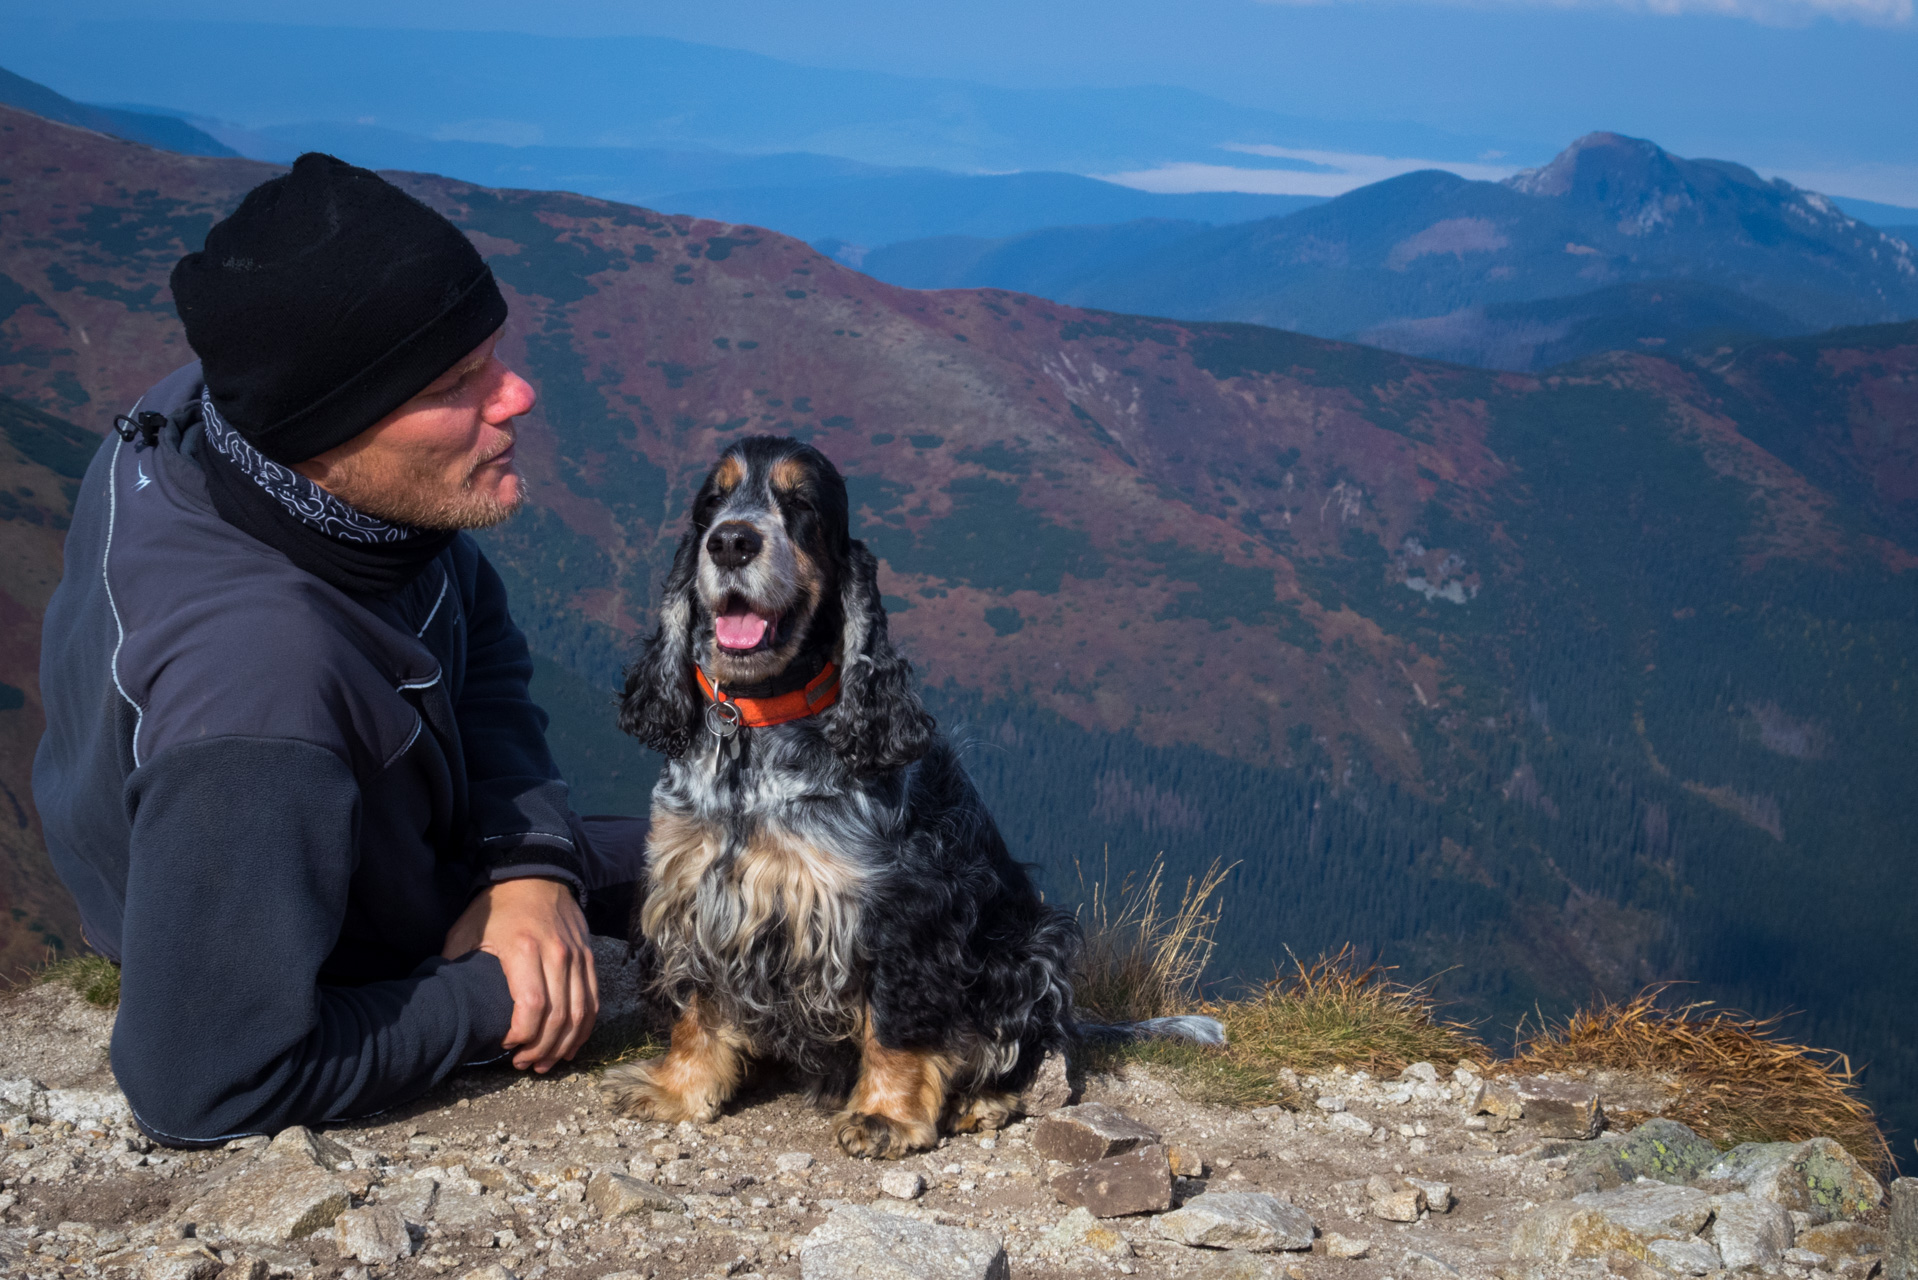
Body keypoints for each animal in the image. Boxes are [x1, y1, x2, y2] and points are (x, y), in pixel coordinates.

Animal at [606, 433, 1074, 1159]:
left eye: (800, 504)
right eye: (711, 502)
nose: (730, 541)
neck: (758, 731)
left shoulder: (903, 912)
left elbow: (897, 1022)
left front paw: (885, 1115)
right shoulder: (694, 891)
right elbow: (695, 1006)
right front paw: (679, 1089)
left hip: (1028, 950)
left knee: (1020, 1047)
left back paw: (982, 1102)